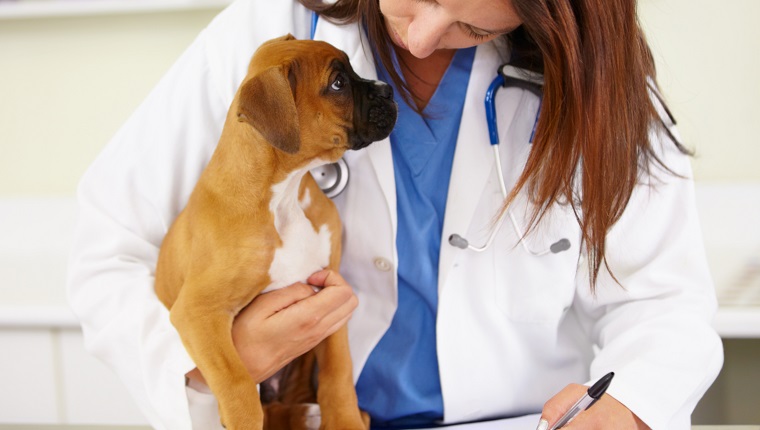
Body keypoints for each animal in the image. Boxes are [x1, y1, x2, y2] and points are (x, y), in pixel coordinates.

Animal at [156, 34, 398, 430]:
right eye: (338, 84)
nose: (388, 90)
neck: (282, 196)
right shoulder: (198, 313)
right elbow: (237, 383)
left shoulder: (331, 291)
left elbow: (339, 369)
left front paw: (345, 419)